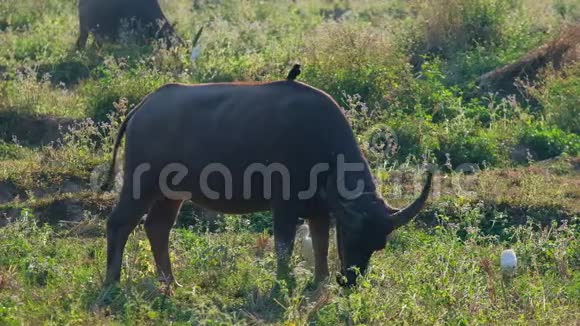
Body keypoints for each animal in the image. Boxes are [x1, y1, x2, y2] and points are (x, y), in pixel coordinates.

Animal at [102, 79, 432, 288]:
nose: (349, 281)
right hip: (141, 183)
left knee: (157, 227)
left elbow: (321, 245)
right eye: (351, 235)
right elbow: (283, 246)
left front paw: (320, 281)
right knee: (119, 224)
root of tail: (143, 107)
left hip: (171, 194)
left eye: (378, 245)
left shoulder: (319, 210)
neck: (320, 144)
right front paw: (283, 283)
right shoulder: (284, 206)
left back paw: (171, 282)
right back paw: (112, 282)